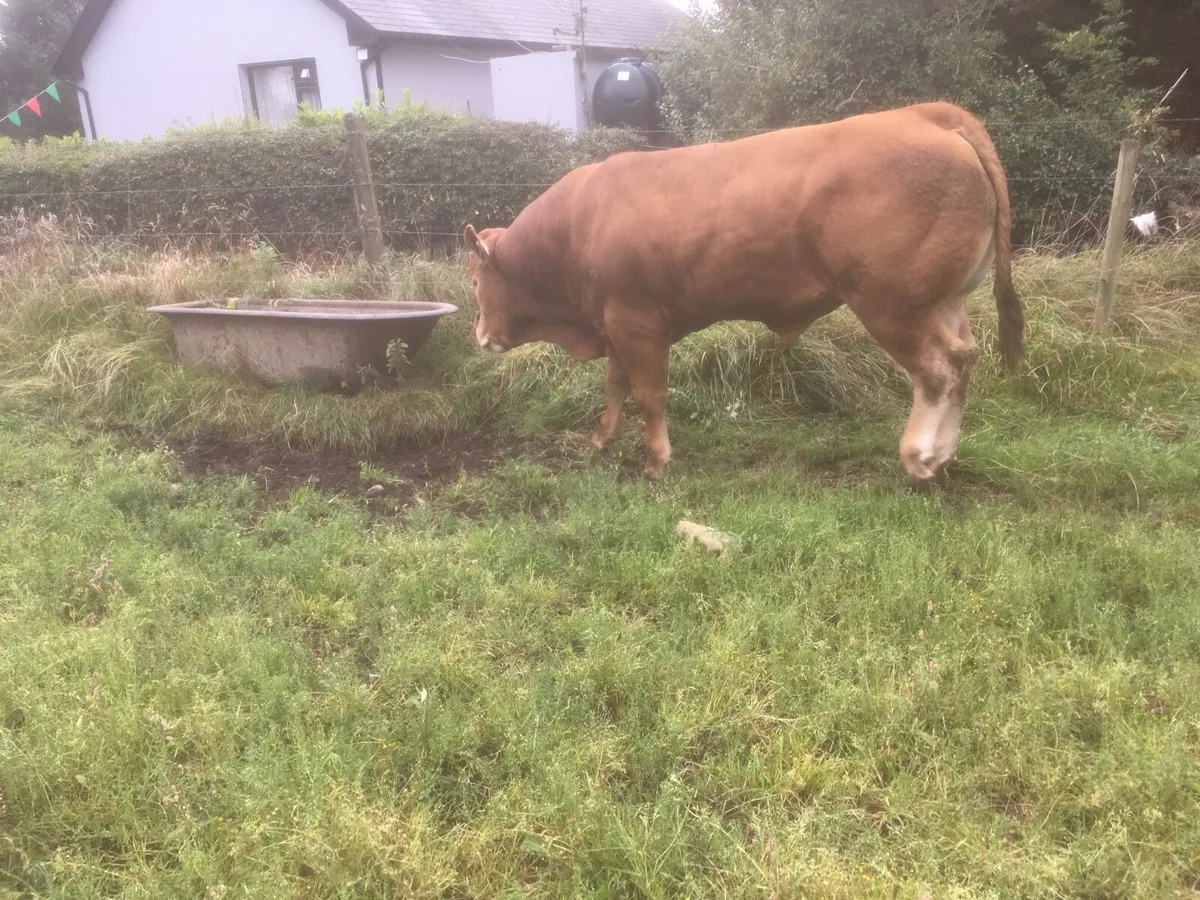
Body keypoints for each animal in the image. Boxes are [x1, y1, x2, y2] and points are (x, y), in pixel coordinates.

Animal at [464, 101, 1025, 490]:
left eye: (473, 281)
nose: (479, 335)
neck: (579, 225)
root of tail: (926, 114)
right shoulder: (617, 322)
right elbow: (615, 386)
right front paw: (601, 438)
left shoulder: (636, 322)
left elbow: (648, 393)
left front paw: (657, 460)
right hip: (944, 302)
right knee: (965, 356)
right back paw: (944, 455)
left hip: (893, 304)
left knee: (939, 367)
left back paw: (921, 458)